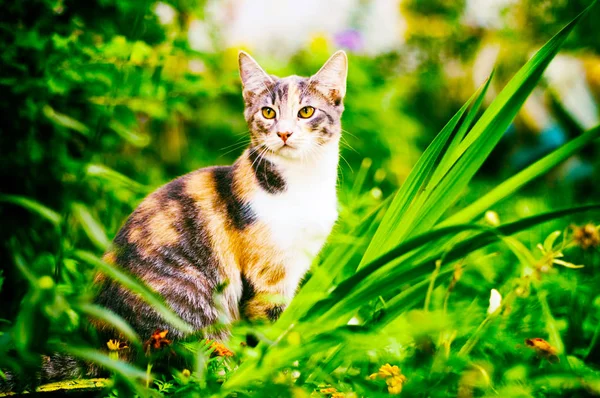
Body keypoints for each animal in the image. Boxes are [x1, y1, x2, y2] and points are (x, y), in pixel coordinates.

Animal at [92, 49, 346, 342]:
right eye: (268, 112)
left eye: (306, 111)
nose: (284, 132)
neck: (300, 182)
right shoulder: (266, 278)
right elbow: (265, 331)